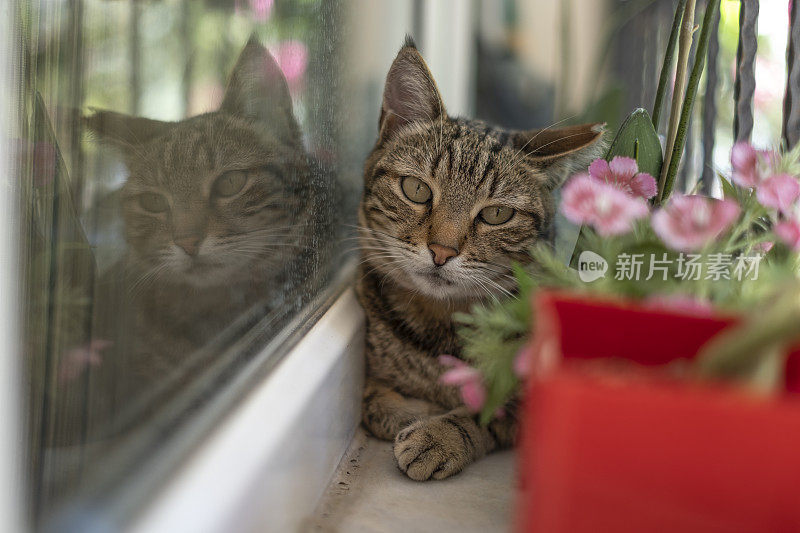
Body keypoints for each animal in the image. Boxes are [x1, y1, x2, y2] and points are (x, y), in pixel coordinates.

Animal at [360, 37, 604, 478]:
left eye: (496, 214)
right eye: (416, 189)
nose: (441, 251)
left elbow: (486, 411)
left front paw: (438, 435)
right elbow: (372, 402)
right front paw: (409, 411)